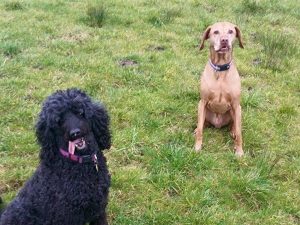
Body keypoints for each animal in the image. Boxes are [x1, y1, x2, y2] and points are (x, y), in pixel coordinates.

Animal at [195, 22, 244, 156]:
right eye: (215, 32)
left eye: (231, 31)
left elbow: (239, 133)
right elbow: (200, 128)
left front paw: (239, 151)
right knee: (202, 123)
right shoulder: (202, 102)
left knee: (235, 125)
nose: (224, 40)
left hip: (236, 111)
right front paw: (197, 147)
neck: (221, 69)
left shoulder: (236, 104)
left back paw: (232, 131)